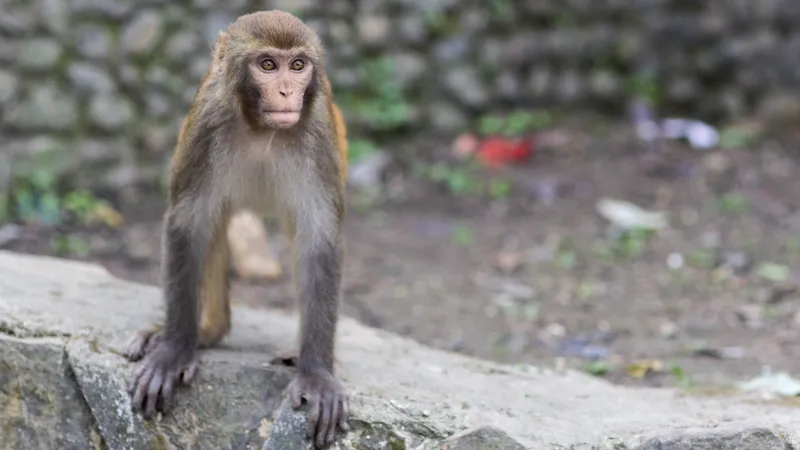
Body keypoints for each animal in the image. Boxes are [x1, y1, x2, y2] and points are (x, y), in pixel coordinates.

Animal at [122, 10, 350, 448]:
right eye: (268, 65)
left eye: (298, 65)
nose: (286, 91)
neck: (263, 130)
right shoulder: (206, 126)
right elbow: (189, 224)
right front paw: (174, 349)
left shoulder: (318, 138)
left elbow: (318, 241)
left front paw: (317, 374)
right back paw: (206, 332)